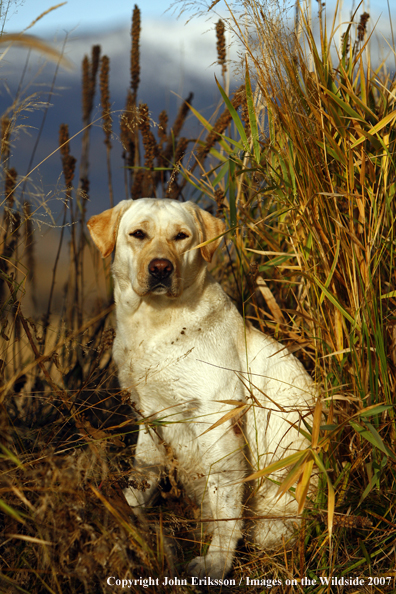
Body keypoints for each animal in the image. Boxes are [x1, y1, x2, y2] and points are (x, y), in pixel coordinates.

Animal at [86, 198, 316, 572]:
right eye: (138, 234)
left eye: (181, 236)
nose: (160, 268)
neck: (155, 324)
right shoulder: (149, 416)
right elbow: (141, 477)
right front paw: (127, 519)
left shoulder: (217, 421)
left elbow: (226, 504)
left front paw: (215, 563)